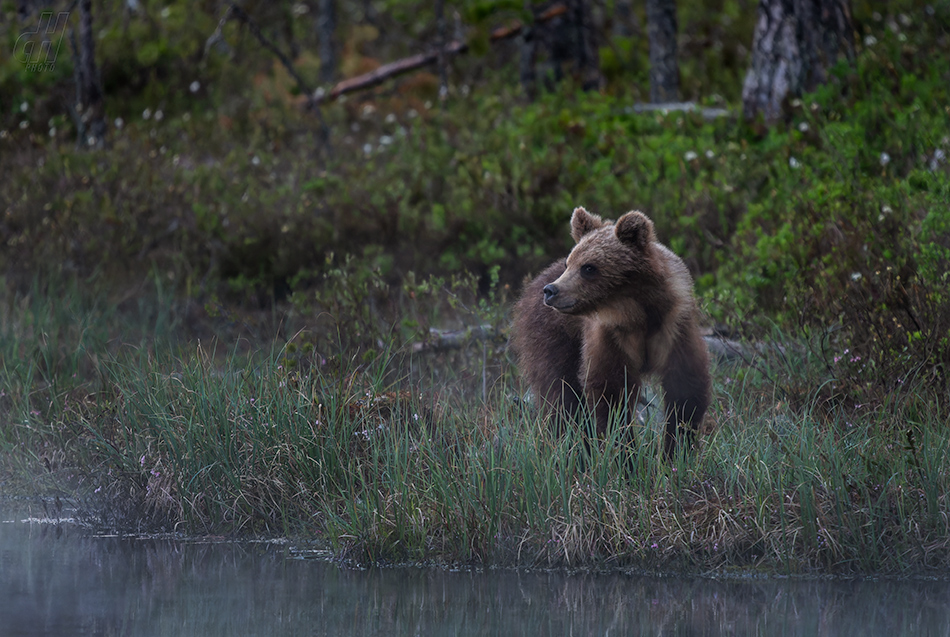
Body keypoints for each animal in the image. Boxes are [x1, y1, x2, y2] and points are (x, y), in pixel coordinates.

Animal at [512, 207, 712, 458]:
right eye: (570, 263)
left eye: (588, 267)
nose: (551, 290)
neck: (639, 313)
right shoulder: (611, 337)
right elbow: (610, 392)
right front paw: (625, 454)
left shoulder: (674, 328)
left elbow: (685, 389)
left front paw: (676, 451)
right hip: (553, 335)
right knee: (560, 392)